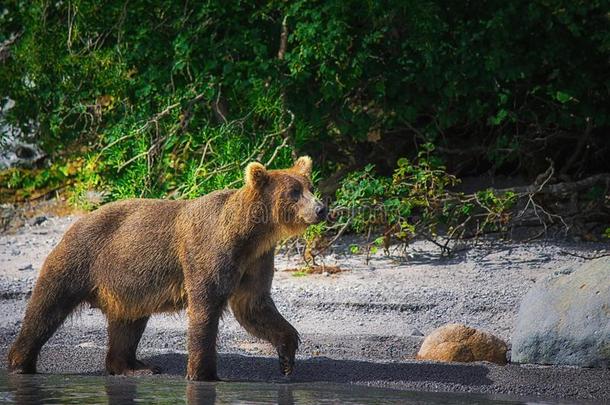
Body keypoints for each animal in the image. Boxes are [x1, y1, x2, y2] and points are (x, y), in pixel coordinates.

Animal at [7, 155, 326, 378]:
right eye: (294, 192)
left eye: (310, 186)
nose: (321, 209)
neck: (250, 234)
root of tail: (76, 222)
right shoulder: (209, 250)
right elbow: (205, 308)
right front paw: (203, 374)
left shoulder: (255, 261)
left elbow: (254, 306)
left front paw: (287, 357)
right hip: (81, 259)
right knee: (46, 307)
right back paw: (20, 363)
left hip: (127, 283)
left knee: (128, 323)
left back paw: (133, 366)